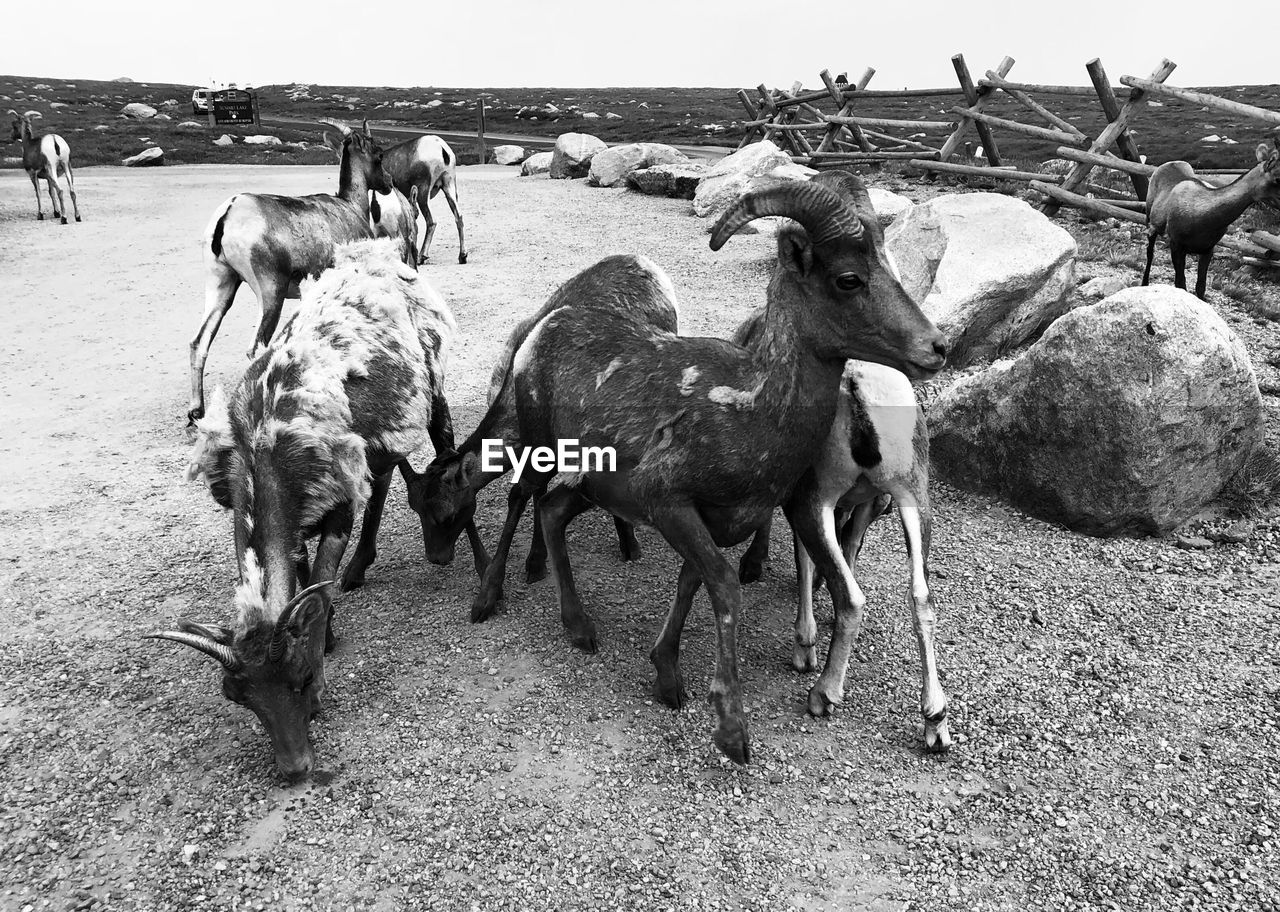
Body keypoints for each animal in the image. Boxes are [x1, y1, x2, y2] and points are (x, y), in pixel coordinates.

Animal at [186, 117, 389, 422]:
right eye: (379, 154)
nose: (388, 183)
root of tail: (228, 214)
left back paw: (196, 411)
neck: (349, 207)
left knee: (199, 342)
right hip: (271, 293)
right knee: (255, 348)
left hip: (221, 286)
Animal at [1146, 136, 1280, 299]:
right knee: (1149, 251)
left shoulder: (1208, 248)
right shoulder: (1176, 242)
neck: (1203, 222)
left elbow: (1201, 287)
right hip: (1150, 216)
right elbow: (1180, 284)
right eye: (1277, 179)